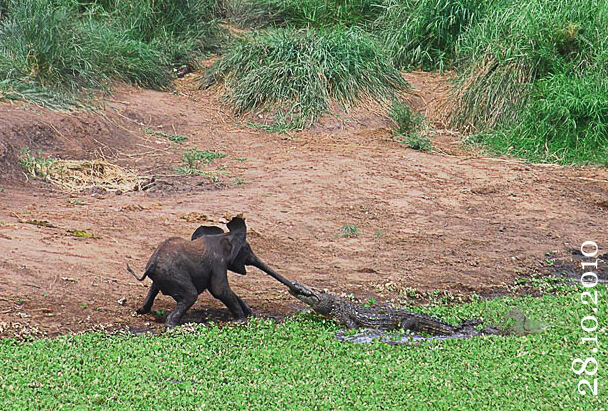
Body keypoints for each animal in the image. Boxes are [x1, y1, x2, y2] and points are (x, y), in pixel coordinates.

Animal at [127, 216, 290, 328]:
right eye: (247, 249)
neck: (223, 237)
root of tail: (151, 265)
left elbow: (224, 291)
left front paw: (254, 315)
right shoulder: (218, 262)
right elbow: (219, 290)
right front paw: (242, 321)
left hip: (163, 276)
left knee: (154, 288)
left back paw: (141, 311)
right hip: (174, 275)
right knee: (191, 295)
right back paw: (172, 325)